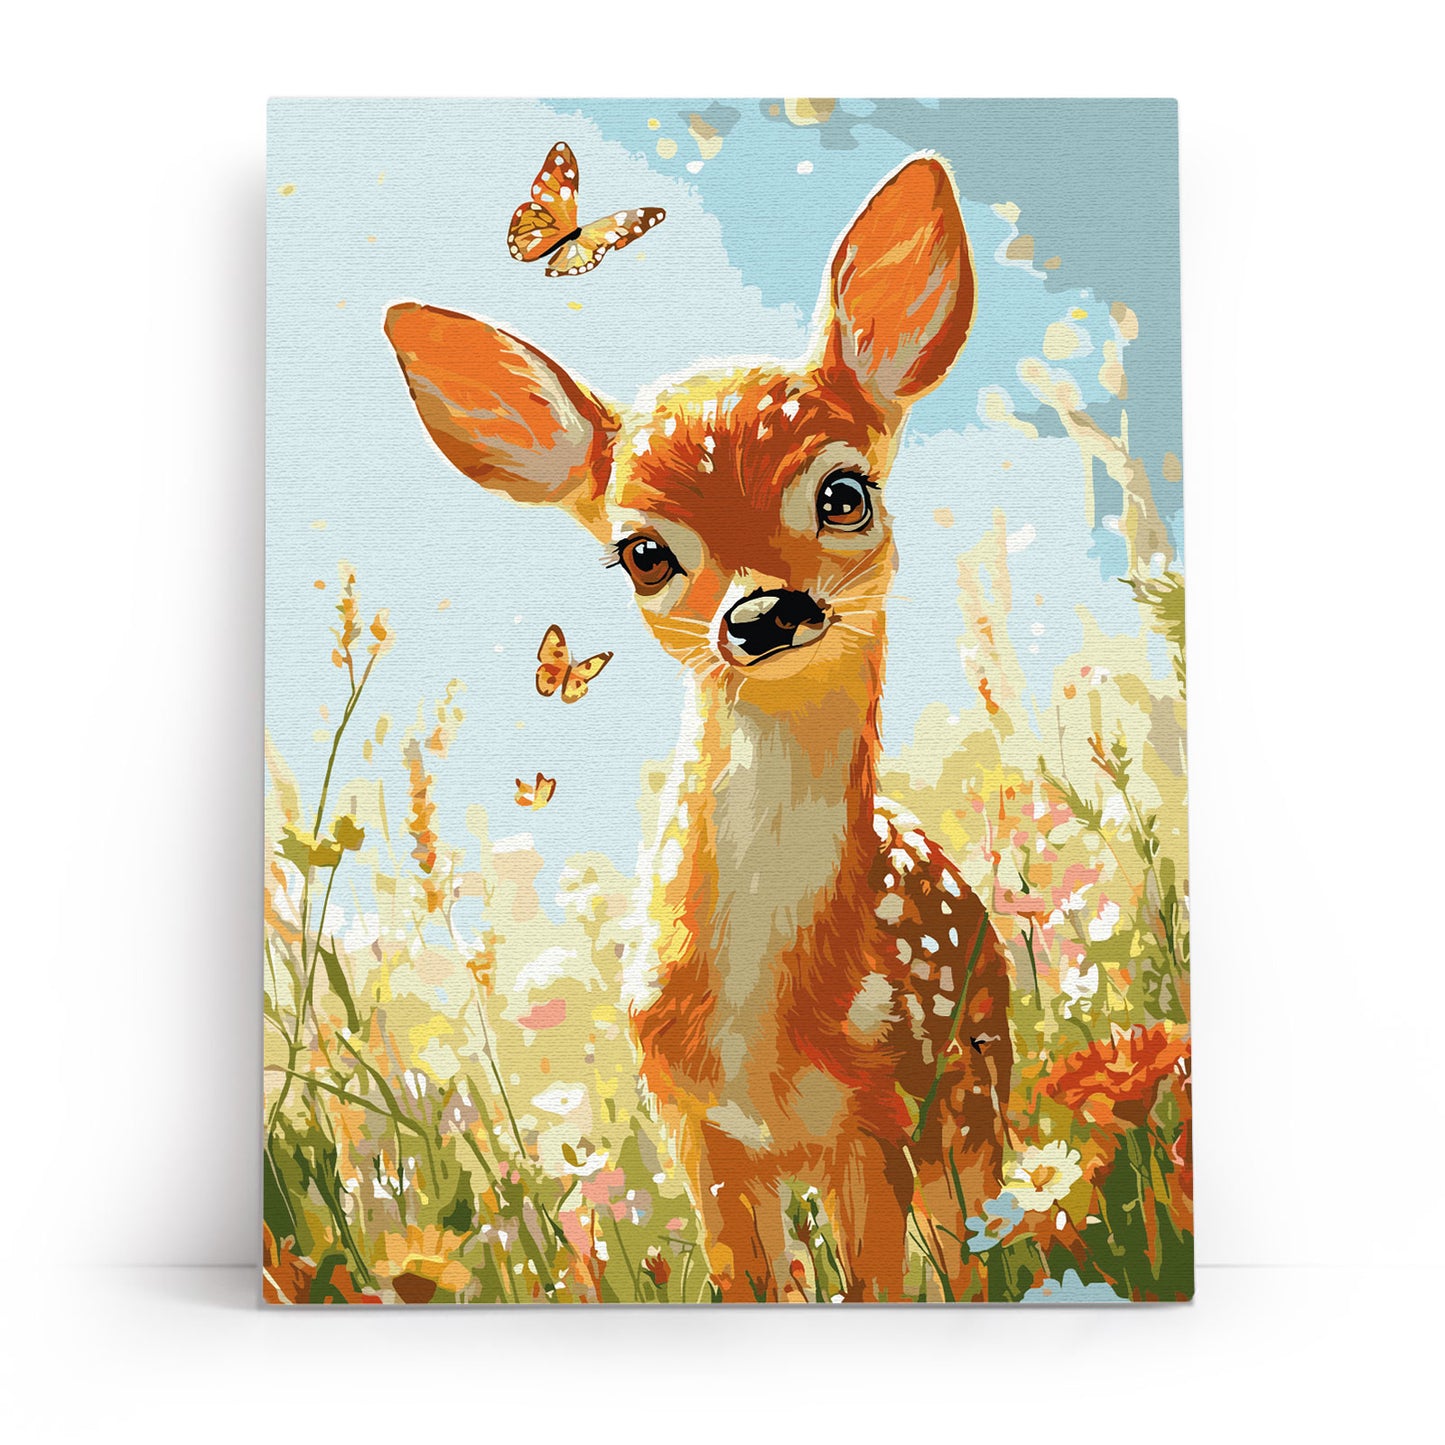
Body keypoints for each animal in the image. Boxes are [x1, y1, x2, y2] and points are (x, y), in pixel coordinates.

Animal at [384, 152, 1014, 1302]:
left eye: (844, 491)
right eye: (642, 552)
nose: (764, 613)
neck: (758, 1022)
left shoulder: (880, 1108)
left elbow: (879, 1280)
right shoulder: (691, 1122)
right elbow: (748, 1279)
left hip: (975, 1083)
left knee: (982, 1235)